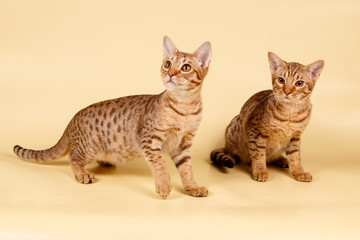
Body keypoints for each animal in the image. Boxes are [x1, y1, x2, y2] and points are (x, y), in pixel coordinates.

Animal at [14, 35, 211, 197]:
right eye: (168, 64)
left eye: (186, 68)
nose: (170, 74)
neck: (184, 107)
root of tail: (73, 119)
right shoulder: (149, 140)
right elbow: (160, 164)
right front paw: (163, 185)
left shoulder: (184, 144)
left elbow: (187, 169)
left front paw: (192, 186)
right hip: (89, 147)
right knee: (73, 158)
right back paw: (82, 174)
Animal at [211, 51, 324, 182]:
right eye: (281, 80)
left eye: (299, 83)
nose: (287, 91)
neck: (289, 113)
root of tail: (226, 146)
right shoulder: (255, 131)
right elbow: (258, 154)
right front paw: (260, 170)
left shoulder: (295, 137)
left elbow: (295, 157)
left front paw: (299, 171)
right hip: (233, 129)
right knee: (234, 154)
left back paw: (280, 159)